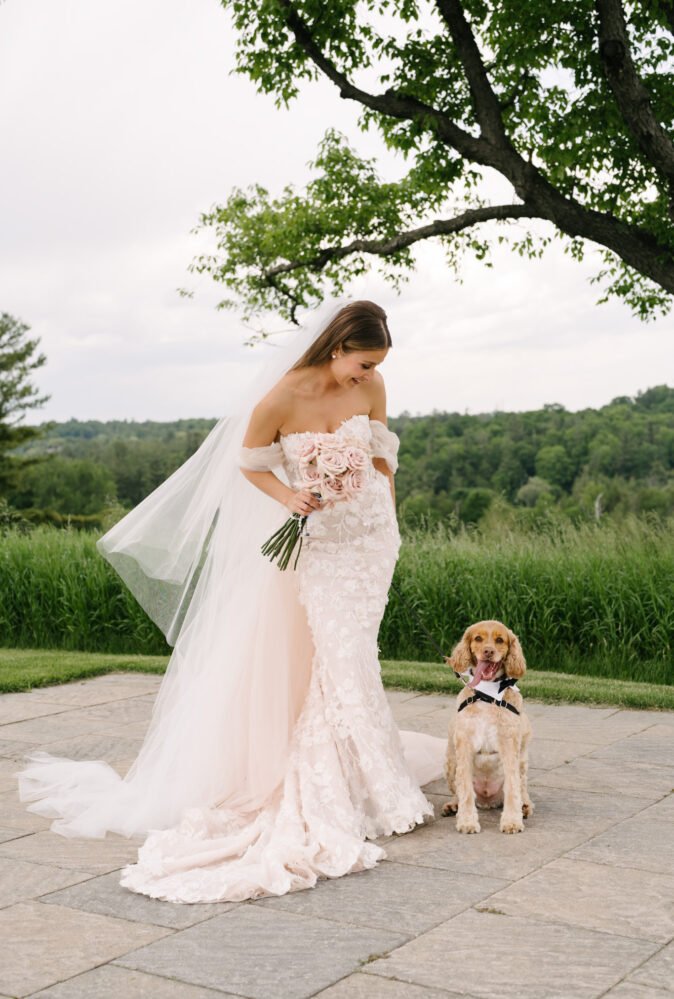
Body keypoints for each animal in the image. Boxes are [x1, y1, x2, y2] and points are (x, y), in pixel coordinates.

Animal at [438, 620, 532, 832]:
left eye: (500, 640)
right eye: (478, 638)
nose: (488, 652)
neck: (488, 695)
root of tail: (487, 801)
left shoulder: (509, 744)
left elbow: (513, 787)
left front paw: (512, 821)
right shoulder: (464, 744)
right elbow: (465, 789)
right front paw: (467, 821)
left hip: (522, 761)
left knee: (522, 788)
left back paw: (524, 807)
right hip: (450, 762)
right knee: (458, 791)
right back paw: (453, 806)